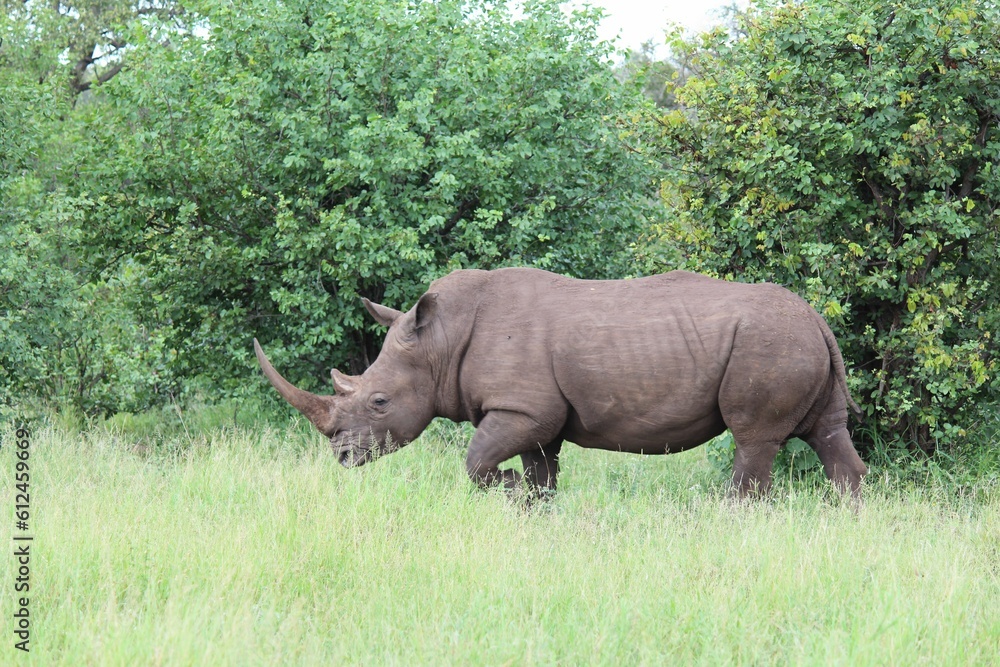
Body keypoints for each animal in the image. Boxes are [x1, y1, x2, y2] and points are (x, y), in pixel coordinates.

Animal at [254, 267, 867, 498]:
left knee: (753, 441)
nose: (342, 455)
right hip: (797, 343)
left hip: (770, 345)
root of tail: (817, 317)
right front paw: (530, 503)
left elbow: (475, 461)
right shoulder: (536, 416)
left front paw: (507, 488)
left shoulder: (521, 409)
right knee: (829, 436)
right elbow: (541, 473)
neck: (439, 344)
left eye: (380, 401)